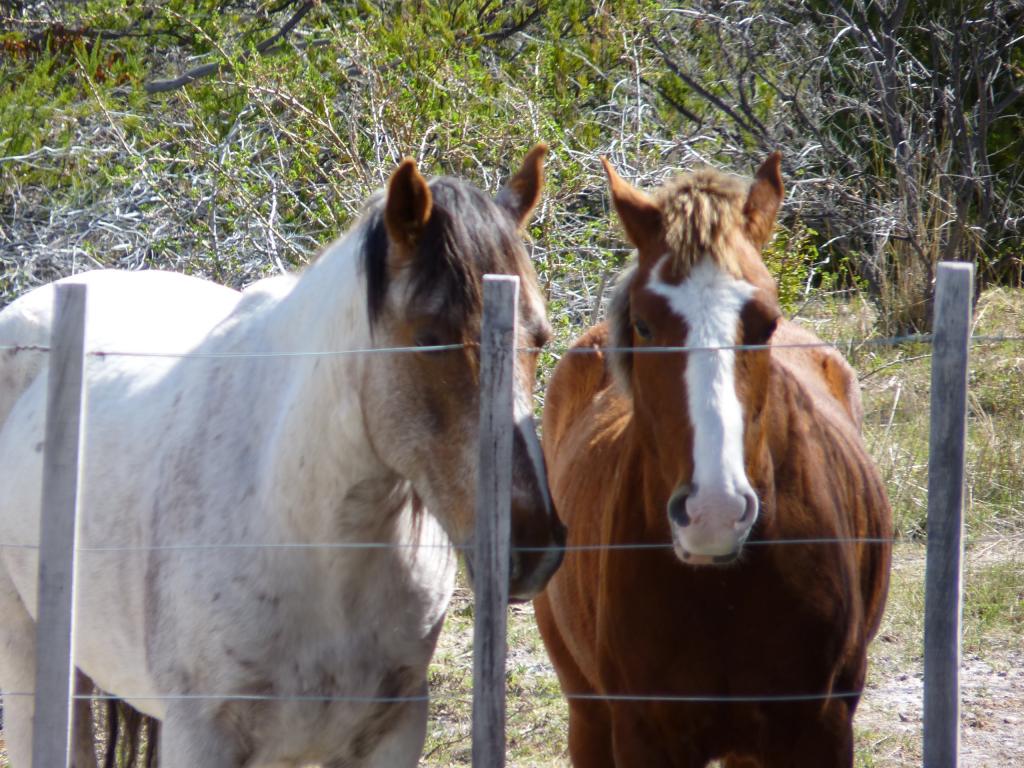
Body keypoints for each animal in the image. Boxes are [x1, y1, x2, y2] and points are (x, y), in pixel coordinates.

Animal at [0, 145, 561, 768]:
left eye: (538, 337)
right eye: (427, 337)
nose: (534, 545)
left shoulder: (390, 733)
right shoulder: (202, 738)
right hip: (33, 663)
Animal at [536, 153, 888, 765]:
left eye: (766, 321)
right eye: (645, 323)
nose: (713, 514)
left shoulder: (820, 728)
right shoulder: (645, 735)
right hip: (588, 714)